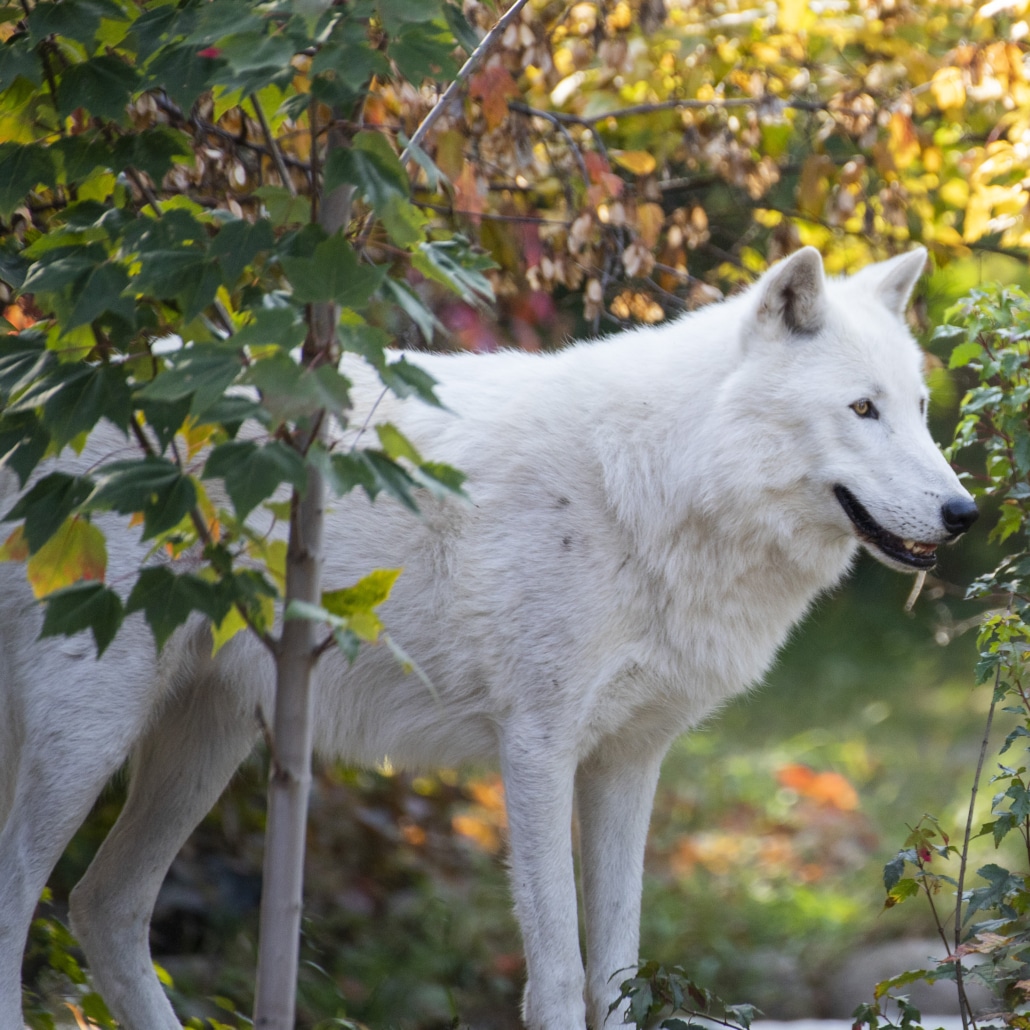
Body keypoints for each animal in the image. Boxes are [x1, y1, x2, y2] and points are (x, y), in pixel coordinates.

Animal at [0, 245, 976, 1025]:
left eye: (922, 408)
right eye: (862, 410)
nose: (964, 513)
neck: (652, 485)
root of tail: (36, 386)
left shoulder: (627, 762)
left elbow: (617, 974)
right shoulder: (536, 748)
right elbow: (559, 978)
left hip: (207, 741)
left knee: (102, 908)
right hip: (91, 734)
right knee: (21, 910)